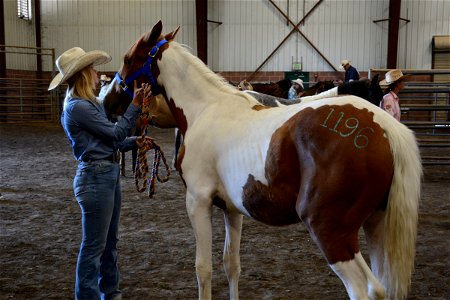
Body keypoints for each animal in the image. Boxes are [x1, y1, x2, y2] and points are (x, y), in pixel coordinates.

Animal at [103, 19, 420, 298]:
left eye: (128, 58)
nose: (108, 101)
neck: (205, 108)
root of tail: (384, 127)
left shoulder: (198, 202)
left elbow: (203, 269)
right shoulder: (231, 208)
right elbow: (231, 265)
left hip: (331, 232)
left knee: (364, 289)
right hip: (376, 225)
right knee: (382, 287)